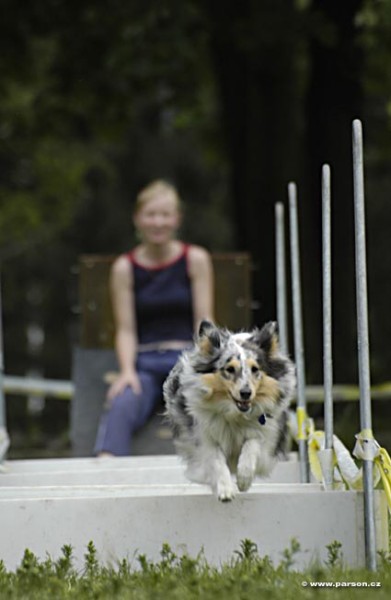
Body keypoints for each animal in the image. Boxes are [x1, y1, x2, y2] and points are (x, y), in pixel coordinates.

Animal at [164, 318, 296, 502]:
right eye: (230, 369)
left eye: (255, 369)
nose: (246, 393)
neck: (234, 414)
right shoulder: (204, 437)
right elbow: (216, 460)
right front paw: (225, 490)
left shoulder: (266, 434)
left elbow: (252, 444)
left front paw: (243, 480)